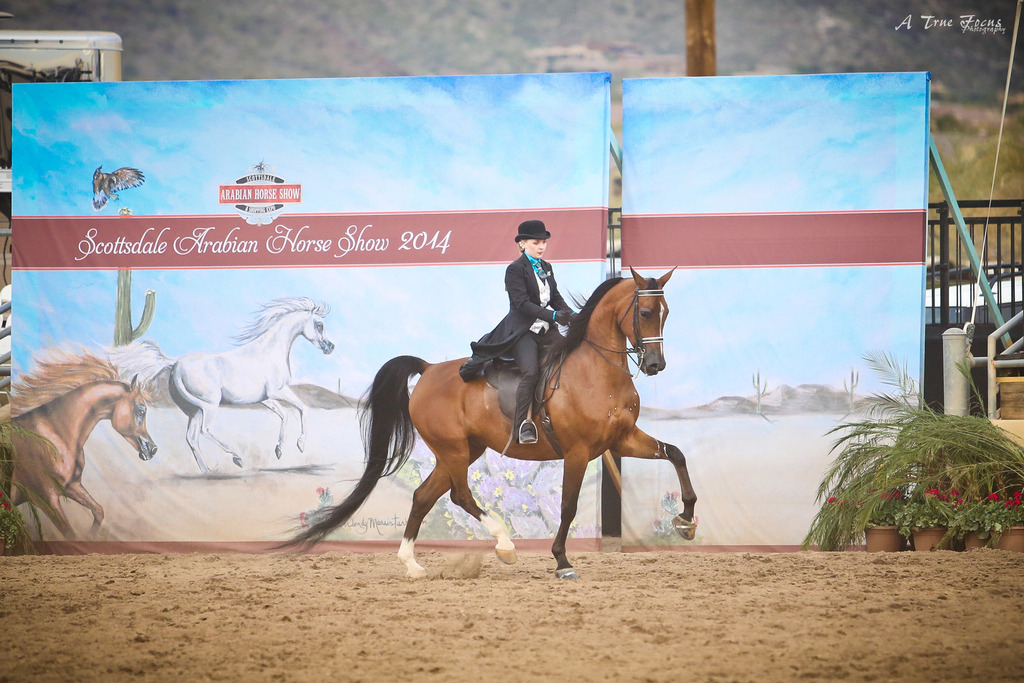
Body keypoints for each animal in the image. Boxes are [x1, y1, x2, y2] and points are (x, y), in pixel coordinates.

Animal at [9, 349, 157, 539]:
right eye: (141, 410)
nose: (152, 449)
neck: (54, 434)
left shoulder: (72, 486)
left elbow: (99, 511)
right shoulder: (45, 498)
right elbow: (70, 535)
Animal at [112, 297, 335, 473]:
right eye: (319, 325)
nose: (330, 347)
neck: (269, 351)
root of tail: (175, 365)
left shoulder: (266, 398)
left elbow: (286, 414)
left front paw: (279, 450)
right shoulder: (278, 391)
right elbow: (302, 408)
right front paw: (300, 445)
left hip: (194, 410)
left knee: (192, 437)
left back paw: (207, 471)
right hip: (210, 405)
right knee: (206, 430)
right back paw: (237, 458)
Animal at [290, 269, 697, 580]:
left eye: (666, 312)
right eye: (645, 311)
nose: (655, 365)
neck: (597, 372)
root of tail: (428, 369)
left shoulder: (621, 441)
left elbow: (676, 454)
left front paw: (686, 521)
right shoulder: (578, 451)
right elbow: (568, 506)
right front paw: (562, 561)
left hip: (464, 450)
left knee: (424, 495)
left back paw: (412, 565)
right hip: (453, 448)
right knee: (459, 495)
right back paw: (505, 545)